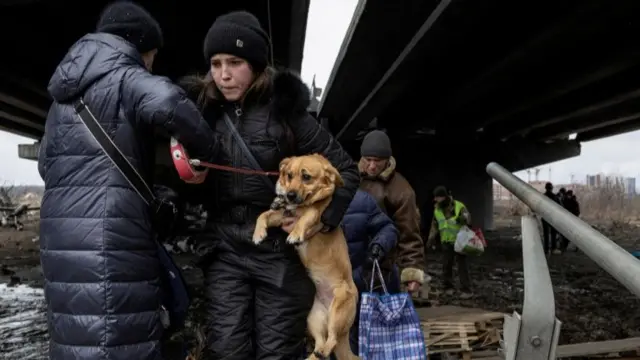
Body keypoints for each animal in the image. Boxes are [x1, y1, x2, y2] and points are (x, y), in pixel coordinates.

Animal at [252, 154, 360, 360]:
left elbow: (307, 216)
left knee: (332, 340)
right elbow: (263, 215)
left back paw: (325, 350)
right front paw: (258, 234)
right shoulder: (282, 216)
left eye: (306, 177)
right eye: (289, 175)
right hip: (314, 318)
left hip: (337, 313)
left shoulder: (316, 214)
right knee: (321, 342)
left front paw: (295, 235)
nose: (289, 195)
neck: (299, 205)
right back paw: (314, 354)